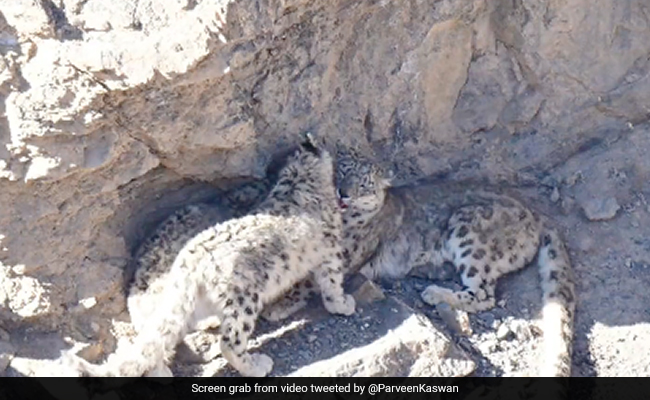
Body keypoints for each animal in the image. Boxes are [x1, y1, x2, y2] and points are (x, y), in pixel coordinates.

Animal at [62, 133, 355, 377]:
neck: (297, 182)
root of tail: (188, 262)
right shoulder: (331, 250)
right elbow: (332, 282)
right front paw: (342, 303)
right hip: (244, 297)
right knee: (230, 342)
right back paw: (257, 365)